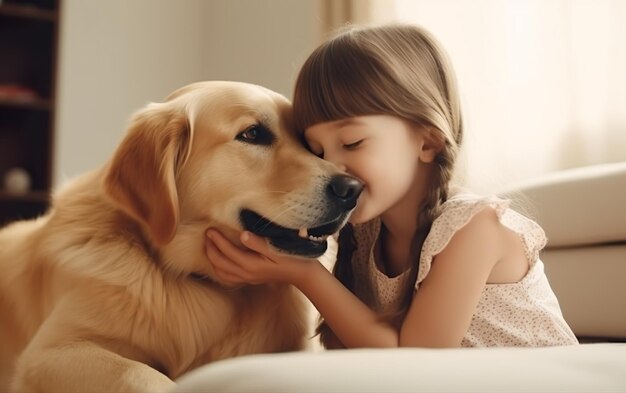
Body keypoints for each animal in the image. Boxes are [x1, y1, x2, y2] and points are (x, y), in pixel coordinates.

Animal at [0, 80, 360, 392]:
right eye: (253, 134)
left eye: (307, 143)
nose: (353, 189)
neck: (197, 282)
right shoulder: (50, 353)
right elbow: (144, 374)